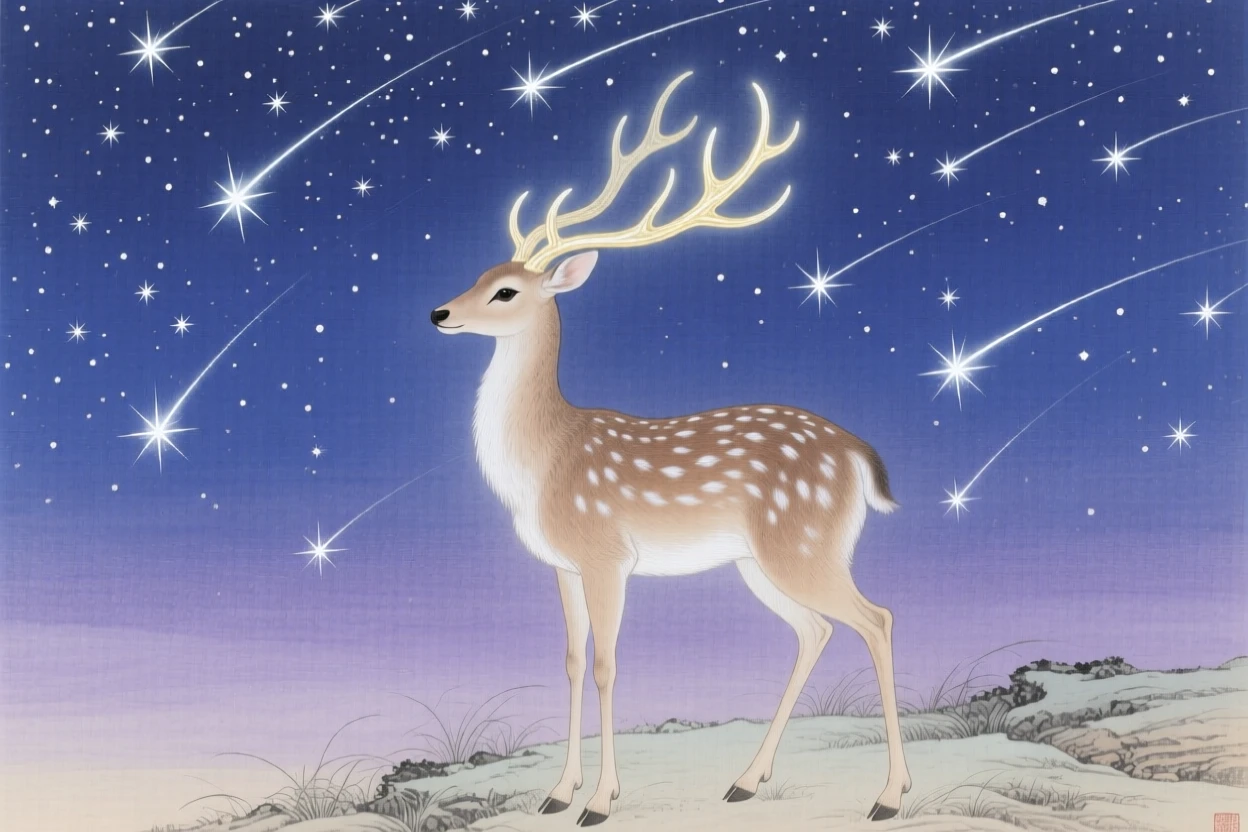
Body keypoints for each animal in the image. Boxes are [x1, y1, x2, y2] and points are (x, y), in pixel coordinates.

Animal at [431, 72, 910, 826]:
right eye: (480, 273)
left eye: (505, 290)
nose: (439, 313)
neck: (545, 460)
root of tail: (857, 454)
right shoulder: (561, 564)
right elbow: (572, 661)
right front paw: (557, 794)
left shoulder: (607, 554)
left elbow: (607, 665)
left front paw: (599, 802)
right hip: (760, 561)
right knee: (815, 631)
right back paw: (746, 781)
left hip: (803, 544)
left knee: (877, 620)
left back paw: (889, 796)